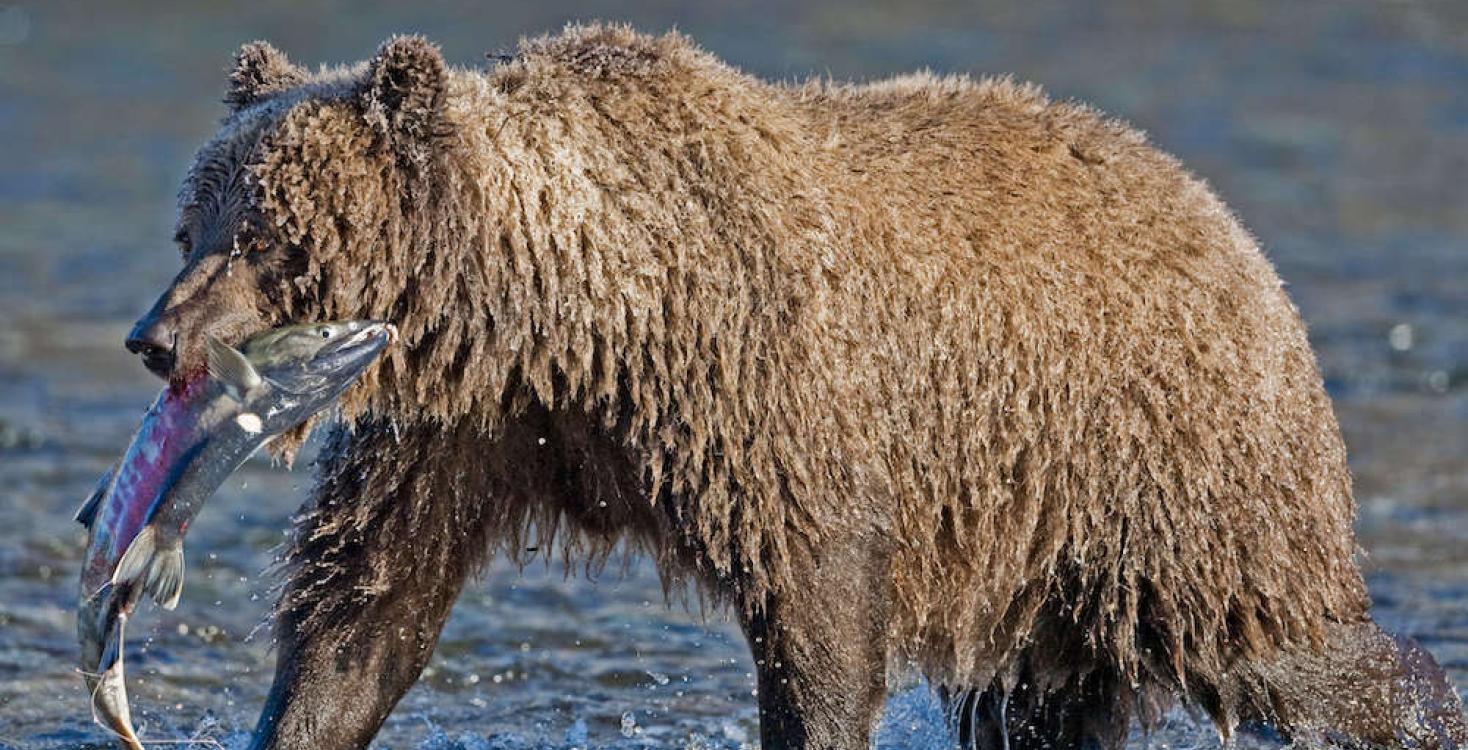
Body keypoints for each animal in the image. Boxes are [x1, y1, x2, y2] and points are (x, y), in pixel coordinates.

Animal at [126, 23, 1468, 750]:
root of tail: (1227, 226)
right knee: (1037, 704)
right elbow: (366, 614)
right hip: (1050, 545)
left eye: (267, 235)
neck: (571, 317)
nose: (151, 334)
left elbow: (818, 607)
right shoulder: (464, 434)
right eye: (192, 224)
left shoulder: (758, 391)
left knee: (1276, 644)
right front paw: (296, 712)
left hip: (1160, 465)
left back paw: (1418, 703)